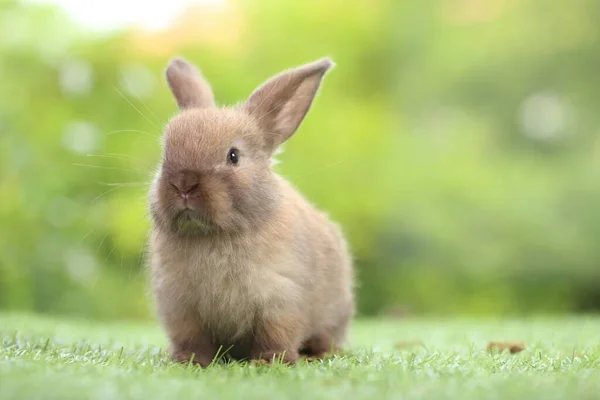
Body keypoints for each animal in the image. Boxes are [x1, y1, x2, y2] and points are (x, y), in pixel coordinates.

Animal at [149, 56, 356, 368]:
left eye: (233, 156)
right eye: (164, 157)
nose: (183, 183)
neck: (214, 236)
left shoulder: (280, 299)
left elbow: (275, 335)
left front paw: (269, 362)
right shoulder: (181, 308)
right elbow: (193, 340)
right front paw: (189, 361)